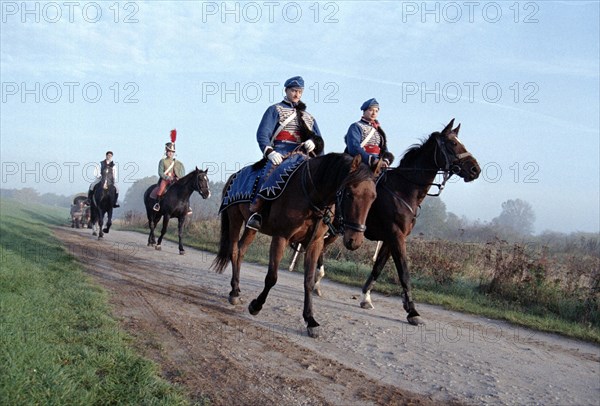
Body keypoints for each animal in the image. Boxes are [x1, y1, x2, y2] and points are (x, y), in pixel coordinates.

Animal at [211, 152, 380, 336]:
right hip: (235, 218)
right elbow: (272, 277)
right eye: (349, 193)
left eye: (373, 197)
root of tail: (234, 176)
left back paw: (237, 288)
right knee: (234, 251)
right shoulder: (281, 237)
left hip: (251, 228)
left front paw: (310, 320)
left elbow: (309, 281)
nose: (355, 240)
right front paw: (256, 305)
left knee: (241, 251)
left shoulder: (315, 244)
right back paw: (234, 292)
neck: (312, 196)